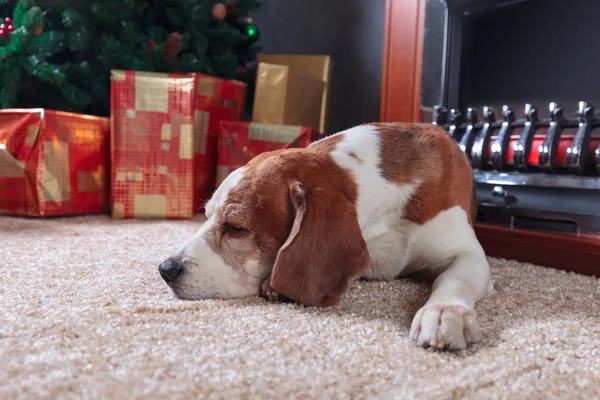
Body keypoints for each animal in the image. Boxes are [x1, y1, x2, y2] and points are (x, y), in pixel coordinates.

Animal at [158, 122, 492, 350]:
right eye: (206, 216)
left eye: (236, 227)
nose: (166, 269)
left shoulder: (469, 253)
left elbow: (452, 278)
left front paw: (444, 312)